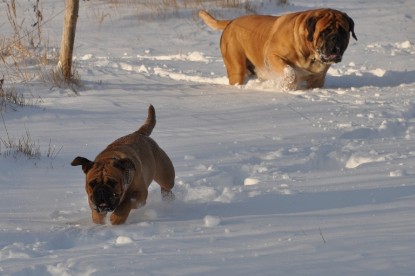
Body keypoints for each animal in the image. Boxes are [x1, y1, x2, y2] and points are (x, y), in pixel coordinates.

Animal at [199, 8, 358, 89]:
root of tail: (231, 22)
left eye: (343, 30)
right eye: (326, 31)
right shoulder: (273, 56)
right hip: (236, 66)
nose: (335, 38)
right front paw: (287, 87)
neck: (310, 54)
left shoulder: (317, 78)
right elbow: (290, 72)